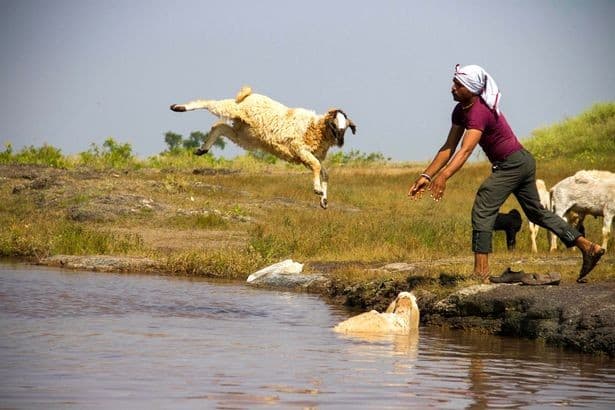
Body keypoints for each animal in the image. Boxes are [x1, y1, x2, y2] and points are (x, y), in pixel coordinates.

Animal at [171, 86, 358, 208]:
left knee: (219, 126)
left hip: (245, 134)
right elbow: (317, 167)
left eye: (346, 127)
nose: (340, 142)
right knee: (210, 104)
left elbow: (324, 172)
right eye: (333, 124)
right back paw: (178, 107)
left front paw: (324, 200)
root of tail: (250, 95)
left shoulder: (308, 155)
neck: (315, 127)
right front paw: (318, 191)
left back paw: (202, 149)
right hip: (235, 110)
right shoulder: (300, 149)